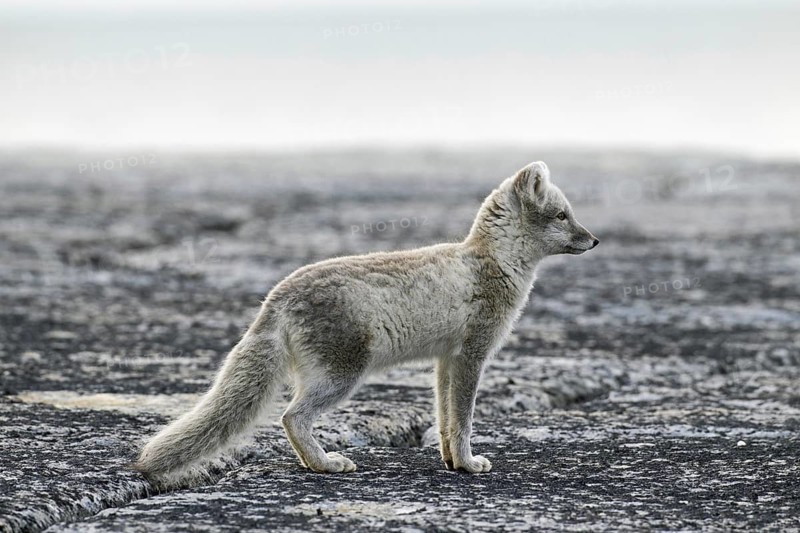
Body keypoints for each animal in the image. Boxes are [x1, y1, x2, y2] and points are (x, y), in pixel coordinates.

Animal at [134, 161, 599, 485]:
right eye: (562, 216)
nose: (595, 241)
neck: (492, 261)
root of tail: (276, 296)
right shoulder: (473, 354)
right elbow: (463, 420)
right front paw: (469, 464)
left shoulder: (447, 360)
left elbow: (445, 420)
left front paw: (453, 462)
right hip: (342, 376)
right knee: (291, 417)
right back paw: (326, 464)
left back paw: (314, 463)